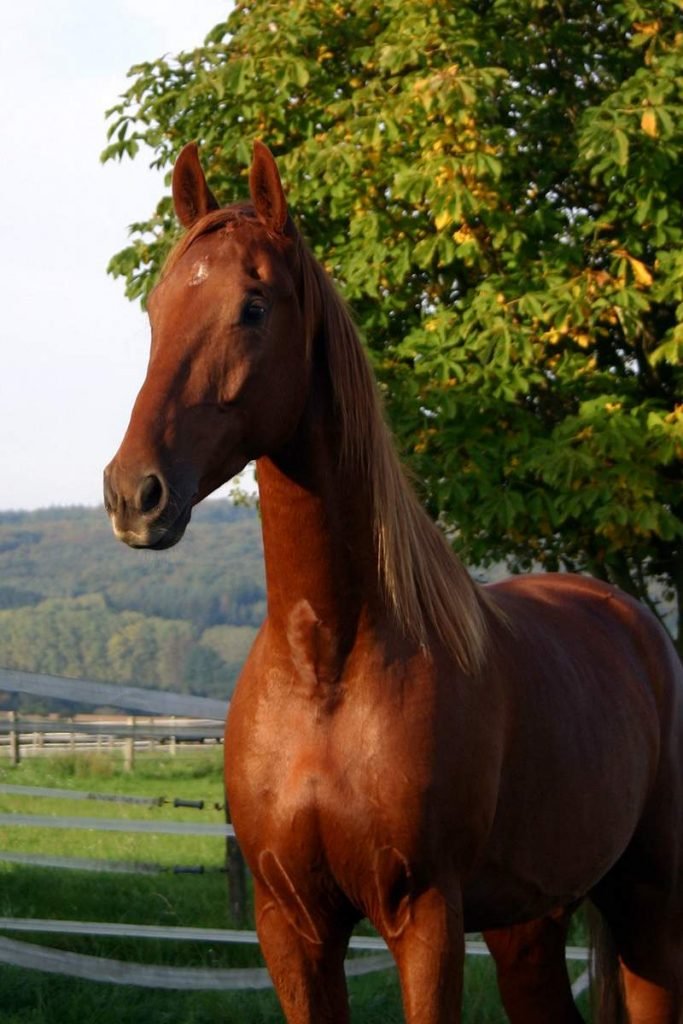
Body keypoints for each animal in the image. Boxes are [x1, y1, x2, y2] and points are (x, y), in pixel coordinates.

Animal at [105, 140, 683, 1019]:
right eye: (155, 309)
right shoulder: (292, 926)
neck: (328, 669)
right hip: (528, 927)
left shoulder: (425, 918)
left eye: (253, 307)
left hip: (648, 903)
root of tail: (629, 620)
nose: (134, 493)